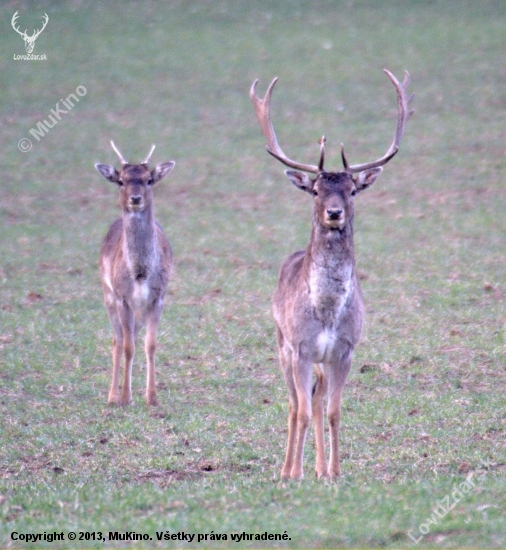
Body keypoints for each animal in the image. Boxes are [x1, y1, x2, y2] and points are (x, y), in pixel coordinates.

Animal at [95, 142, 176, 408]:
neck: (141, 273)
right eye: (120, 180)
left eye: (149, 179)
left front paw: (152, 397)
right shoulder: (122, 297)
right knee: (117, 340)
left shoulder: (158, 296)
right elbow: (128, 346)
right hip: (107, 296)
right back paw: (112, 397)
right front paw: (125, 397)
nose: (136, 198)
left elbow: (150, 344)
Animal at [251, 70, 414, 484]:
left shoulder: (345, 349)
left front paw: (335, 471)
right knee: (294, 404)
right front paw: (293, 473)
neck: (325, 312)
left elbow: (334, 411)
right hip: (280, 345)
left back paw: (321, 467)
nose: (334, 213)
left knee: (317, 398)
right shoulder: (300, 347)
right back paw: (288, 467)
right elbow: (301, 412)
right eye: (314, 190)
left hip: (320, 362)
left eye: (353, 189)